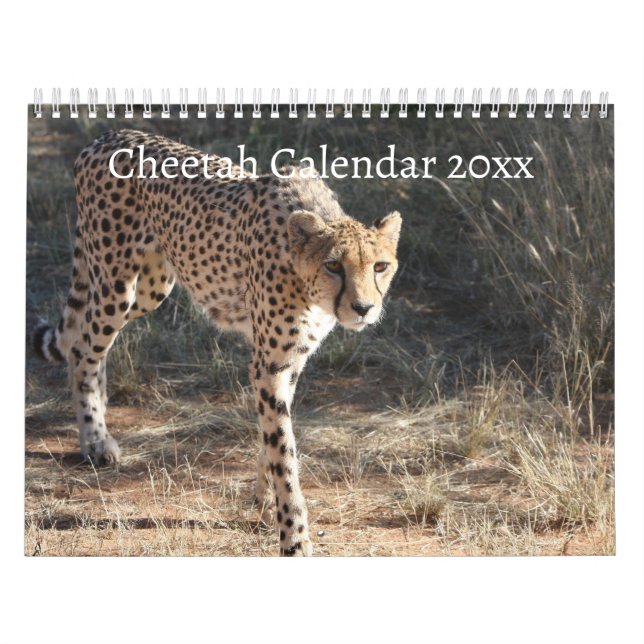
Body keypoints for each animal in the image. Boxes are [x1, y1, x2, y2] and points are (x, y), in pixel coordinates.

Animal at [32, 129, 402, 556]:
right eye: (333, 266)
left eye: (380, 266)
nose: (363, 308)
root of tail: (111, 134)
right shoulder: (269, 363)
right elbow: (284, 449)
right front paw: (293, 535)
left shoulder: (289, 361)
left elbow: (273, 435)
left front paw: (265, 500)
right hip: (115, 283)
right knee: (82, 349)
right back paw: (94, 440)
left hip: (152, 287)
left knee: (91, 342)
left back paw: (102, 423)